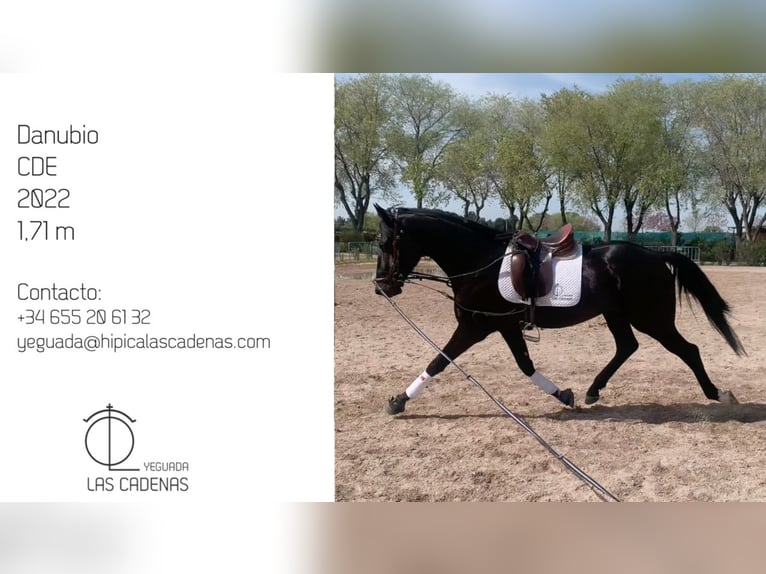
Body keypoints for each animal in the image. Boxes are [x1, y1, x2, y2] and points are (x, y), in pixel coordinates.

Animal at [372, 205, 745, 415]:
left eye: (385, 243)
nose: (381, 287)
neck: (480, 263)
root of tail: (654, 255)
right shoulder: (504, 327)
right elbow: (525, 366)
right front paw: (565, 396)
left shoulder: (475, 326)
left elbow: (438, 361)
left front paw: (398, 401)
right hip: (617, 315)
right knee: (627, 346)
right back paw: (593, 390)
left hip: (651, 318)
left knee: (688, 350)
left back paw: (718, 394)